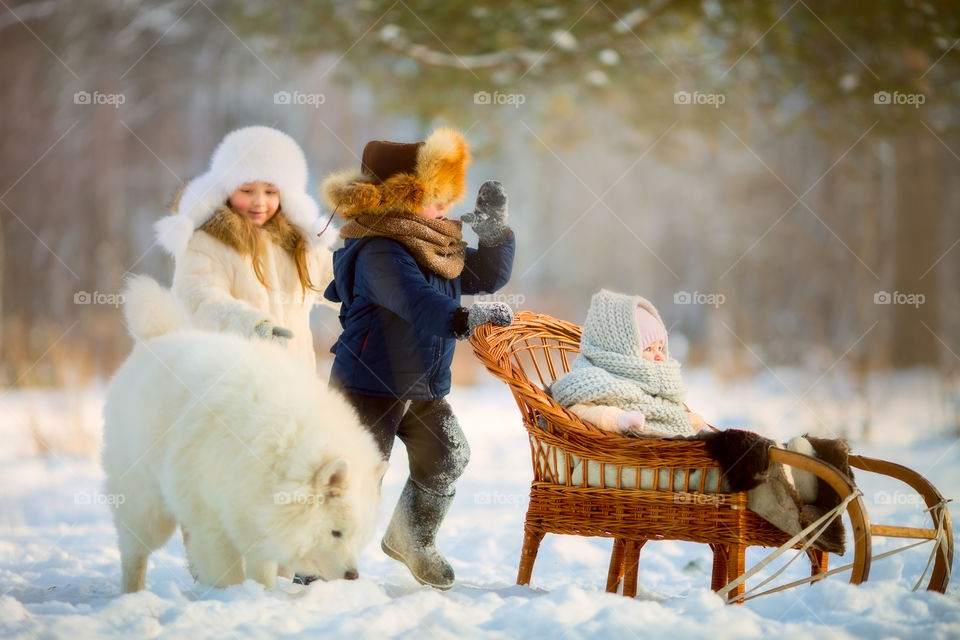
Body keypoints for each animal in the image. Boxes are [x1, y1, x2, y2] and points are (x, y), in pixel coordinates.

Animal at [103, 278, 388, 592]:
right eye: (336, 532)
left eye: (358, 534)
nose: (353, 575)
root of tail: (160, 336)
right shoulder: (213, 519)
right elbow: (228, 572)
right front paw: (233, 594)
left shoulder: (254, 518)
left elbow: (262, 569)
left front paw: (265, 593)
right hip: (145, 502)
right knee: (135, 550)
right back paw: (133, 591)